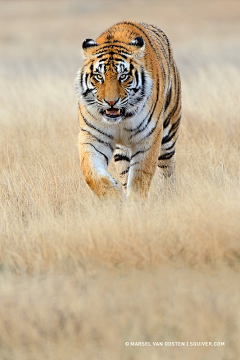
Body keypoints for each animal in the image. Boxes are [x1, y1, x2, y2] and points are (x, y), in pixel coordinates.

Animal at [75, 20, 180, 200]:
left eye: (123, 76)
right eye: (99, 77)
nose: (111, 102)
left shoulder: (148, 137)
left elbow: (140, 177)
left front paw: (135, 204)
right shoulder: (93, 136)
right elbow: (92, 174)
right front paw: (114, 198)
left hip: (168, 134)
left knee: (168, 170)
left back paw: (169, 196)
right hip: (122, 151)